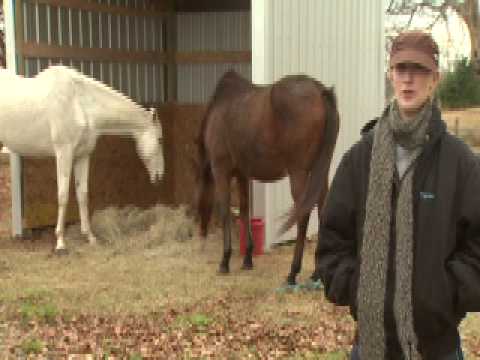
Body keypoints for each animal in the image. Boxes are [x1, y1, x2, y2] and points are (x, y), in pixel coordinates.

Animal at [0, 64, 164, 252]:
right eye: (160, 139)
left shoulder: (82, 156)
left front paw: (90, 237)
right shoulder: (64, 153)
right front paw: (60, 242)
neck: (79, 103)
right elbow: (63, 196)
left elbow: (82, 194)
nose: (160, 176)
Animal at [195, 69, 338, 284]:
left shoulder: (221, 170)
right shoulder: (242, 174)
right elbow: (244, 210)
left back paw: (292, 273)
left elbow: (226, 210)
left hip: (299, 173)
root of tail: (320, 90)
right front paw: (247, 259)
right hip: (321, 171)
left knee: (303, 214)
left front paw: (225, 261)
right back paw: (316, 274)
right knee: (322, 209)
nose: (201, 234)